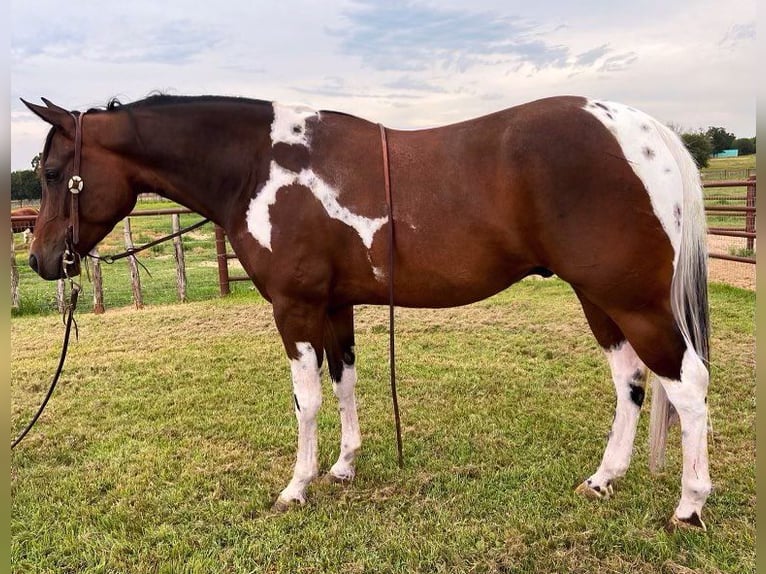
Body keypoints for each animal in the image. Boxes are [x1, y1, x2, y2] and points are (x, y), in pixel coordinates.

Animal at [19, 93, 712, 532]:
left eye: (53, 171)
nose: (42, 259)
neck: (259, 168)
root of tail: (645, 131)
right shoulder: (337, 306)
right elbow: (344, 383)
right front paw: (345, 466)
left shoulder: (295, 309)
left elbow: (307, 401)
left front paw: (296, 487)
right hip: (600, 299)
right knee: (631, 381)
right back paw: (604, 478)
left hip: (631, 300)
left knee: (689, 385)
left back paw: (689, 506)